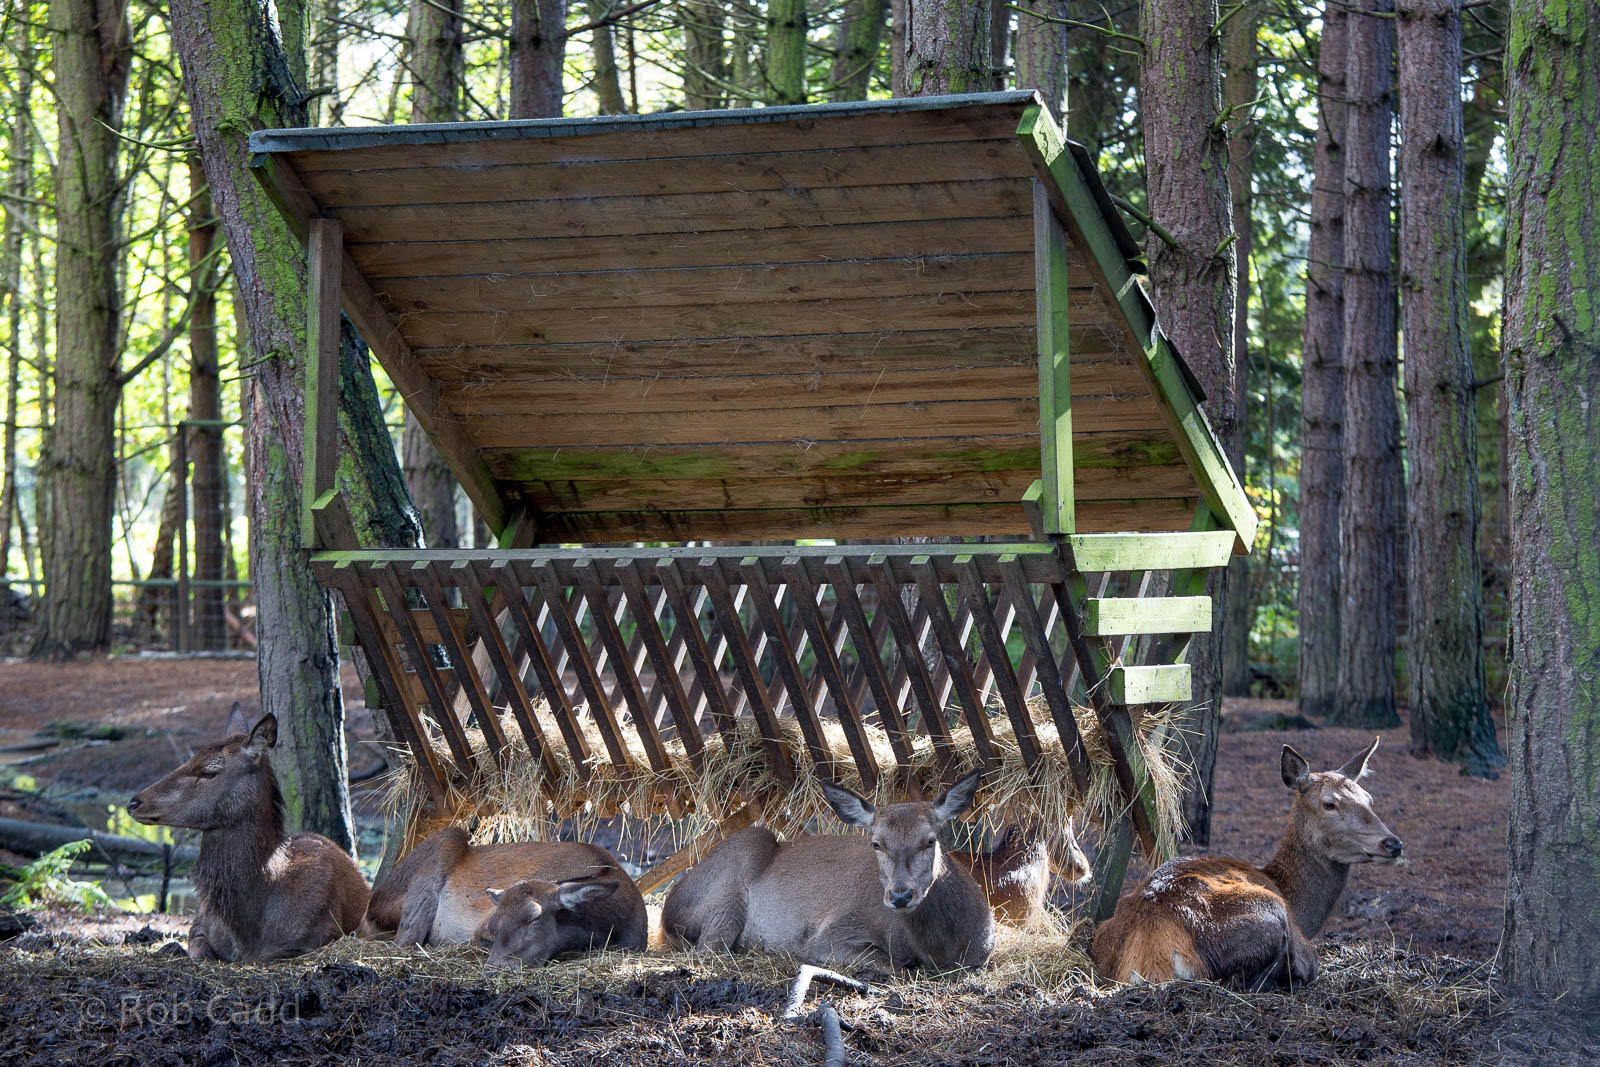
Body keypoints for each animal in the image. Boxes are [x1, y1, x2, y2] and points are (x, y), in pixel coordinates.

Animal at [128, 703, 370, 963]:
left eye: (209, 772)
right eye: (191, 757)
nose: (134, 802)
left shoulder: (316, 936)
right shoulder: (199, 923)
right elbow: (201, 951)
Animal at [363, 824, 647, 968]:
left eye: (534, 918)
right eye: (493, 925)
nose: (494, 967)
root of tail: (370, 907)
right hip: (443, 843)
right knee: (404, 940)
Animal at [661, 770, 995, 972]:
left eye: (930, 840)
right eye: (876, 843)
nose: (900, 896)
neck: (941, 949)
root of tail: (667, 911)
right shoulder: (832, 932)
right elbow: (890, 964)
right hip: (733, 879)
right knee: (709, 948)